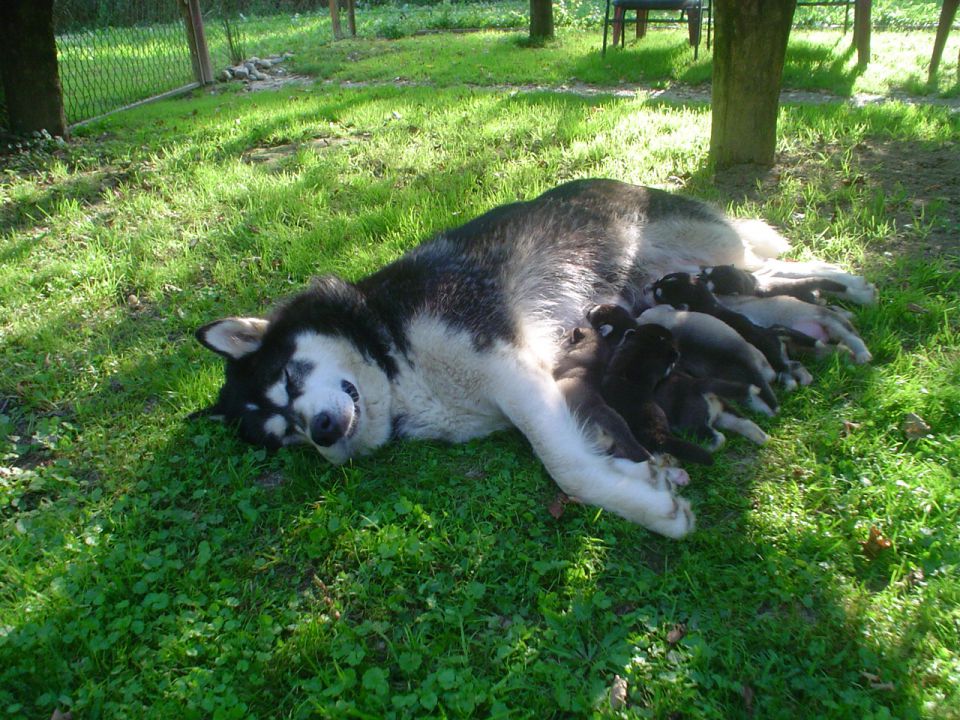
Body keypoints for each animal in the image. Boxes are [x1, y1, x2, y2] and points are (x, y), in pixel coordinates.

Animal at [191, 179, 872, 540]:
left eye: (288, 376)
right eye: (283, 436)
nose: (324, 430)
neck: (390, 353)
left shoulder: (513, 371)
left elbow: (567, 470)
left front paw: (653, 509)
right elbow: (588, 449)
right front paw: (649, 475)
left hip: (702, 256)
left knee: (776, 261)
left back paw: (853, 284)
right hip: (689, 285)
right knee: (768, 288)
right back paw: (829, 319)